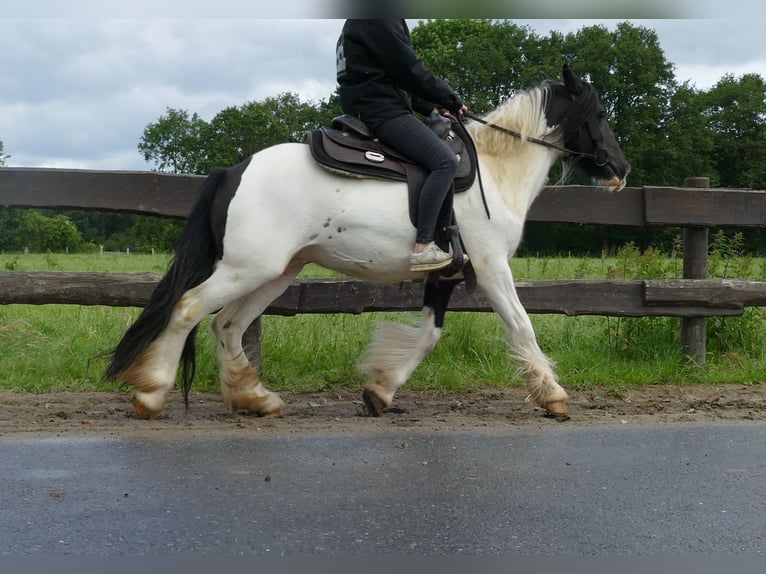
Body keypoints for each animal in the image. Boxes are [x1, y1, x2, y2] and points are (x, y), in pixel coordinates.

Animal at [103, 65, 632, 420]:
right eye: (601, 113)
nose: (621, 169)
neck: (494, 168)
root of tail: (234, 171)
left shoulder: (446, 273)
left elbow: (429, 334)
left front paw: (381, 391)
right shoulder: (489, 266)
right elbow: (523, 327)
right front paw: (554, 396)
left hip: (274, 272)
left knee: (228, 325)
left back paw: (255, 398)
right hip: (245, 269)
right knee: (190, 308)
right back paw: (151, 394)